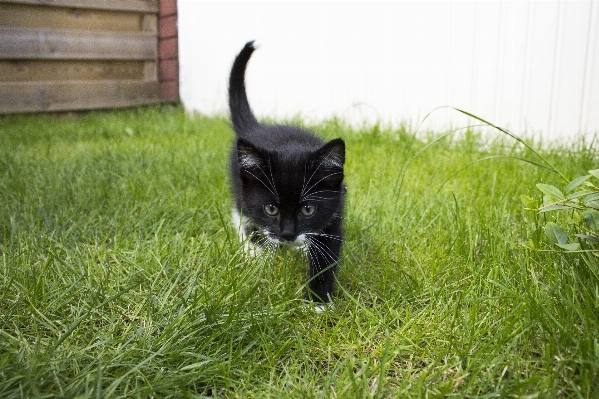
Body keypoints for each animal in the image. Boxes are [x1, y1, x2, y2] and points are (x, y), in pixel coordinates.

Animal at [227, 40, 346, 304]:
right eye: (271, 208)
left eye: (308, 209)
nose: (288, 234)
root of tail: (257, 129)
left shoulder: (335, 209)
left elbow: (326, 255)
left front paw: (318, 302)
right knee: (240, 214)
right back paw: (253, 250)